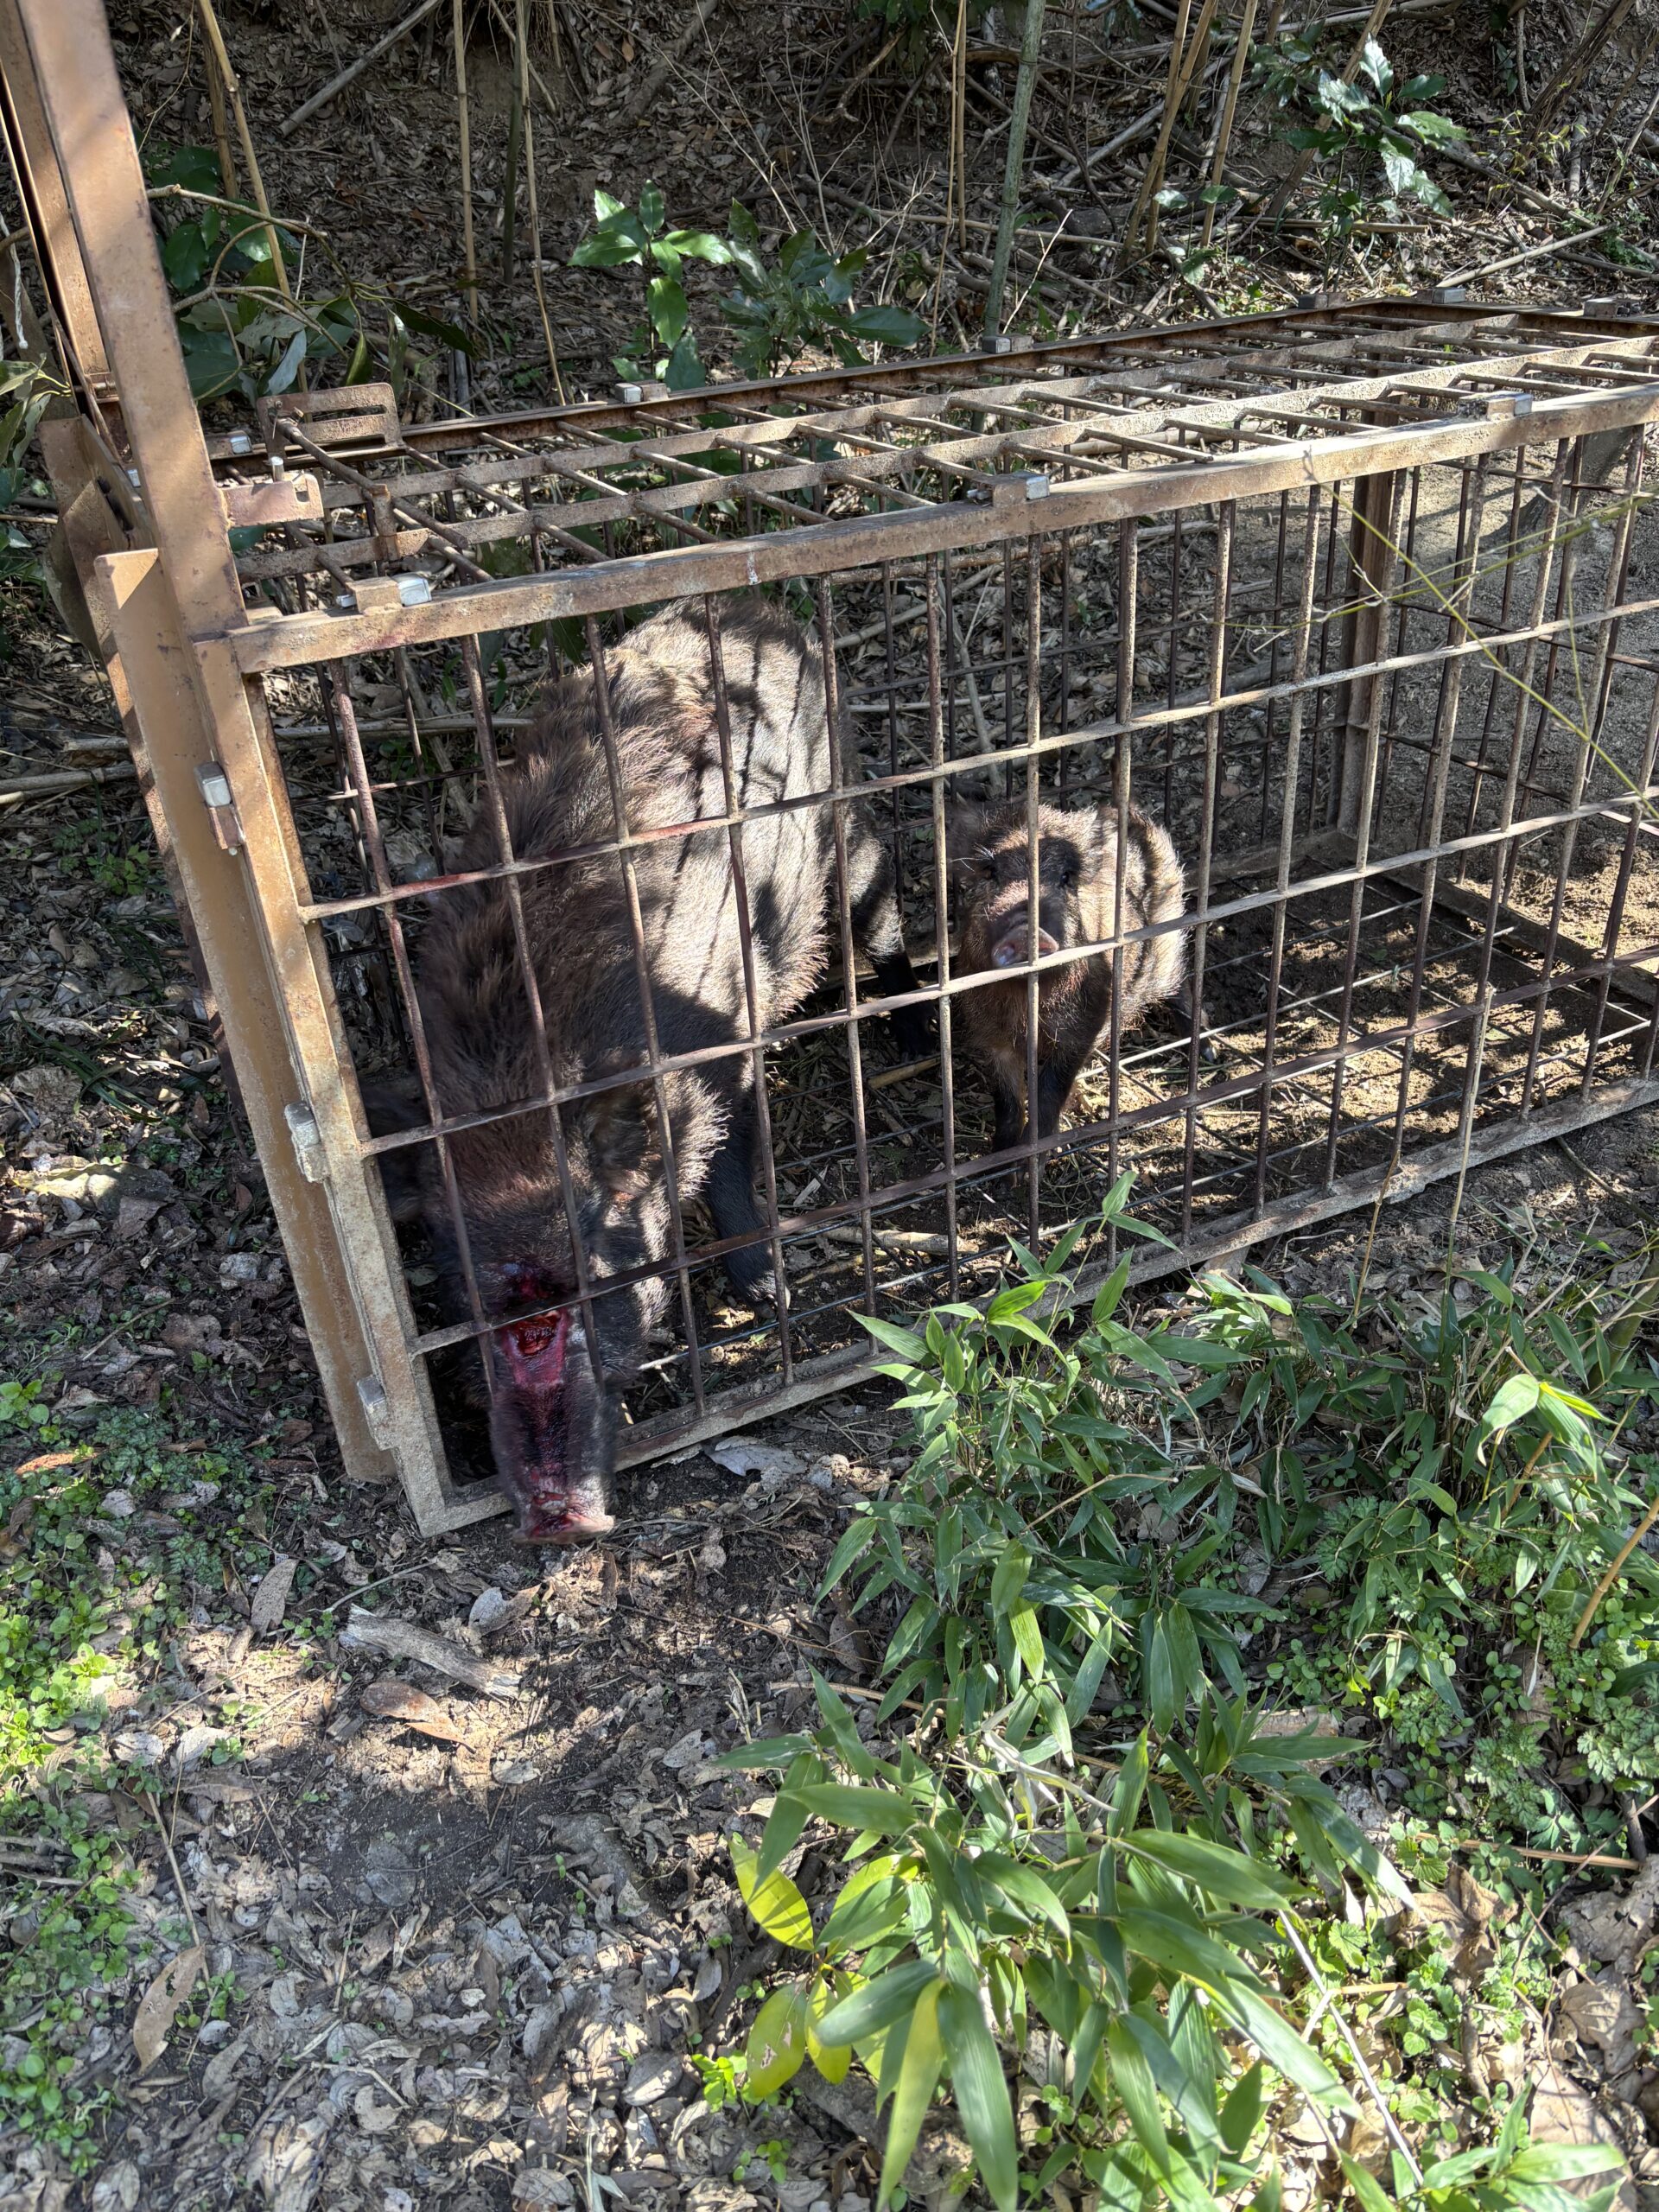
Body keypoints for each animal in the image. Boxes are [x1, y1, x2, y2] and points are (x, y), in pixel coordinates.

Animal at [369, 596, 924, 1545]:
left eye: (596, 1269)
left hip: (844, 832)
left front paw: (768, 1290)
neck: (519, 1093)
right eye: (469, 1300)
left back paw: (919, 1036)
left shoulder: (725, 1032)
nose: (557, 1518)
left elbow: (731, 1155)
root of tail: (750, 609)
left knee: (880, 917)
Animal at [949, 793, 1187, 1151]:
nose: (1026, 928)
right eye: (991, 873)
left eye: (1065, 878)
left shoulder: (1085, 1022)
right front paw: (1003, 1155)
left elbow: (1053, 1086)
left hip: (1167, 942)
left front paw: (1038, 1152)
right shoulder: (987, 1030)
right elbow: (1006, 1098)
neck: (1026, 1004)